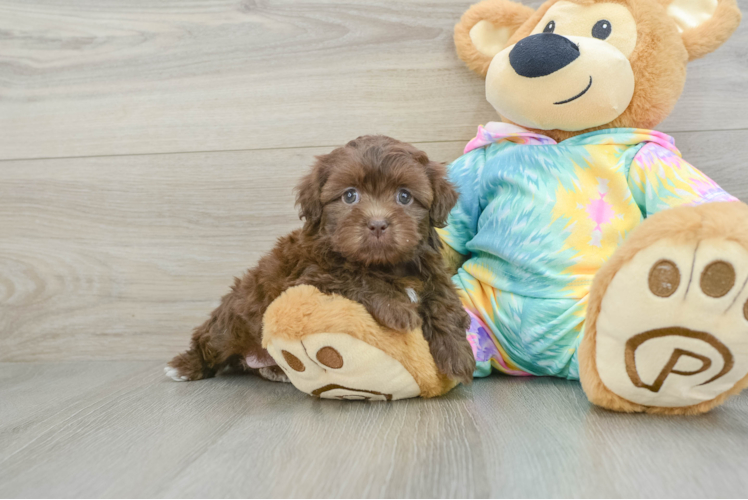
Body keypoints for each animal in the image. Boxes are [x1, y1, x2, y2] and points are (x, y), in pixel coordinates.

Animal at [167, 137, 476, 386]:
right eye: (350, 195)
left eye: (404, 196)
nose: (377, 224)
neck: (383, 263)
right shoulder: (312, 272)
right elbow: (356, 276)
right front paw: (397, 308)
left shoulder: (432, 270)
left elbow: (445, 300)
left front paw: (457, 354)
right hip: (232, 322)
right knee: (211, 341)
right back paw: (185, 366)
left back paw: (274, 370)